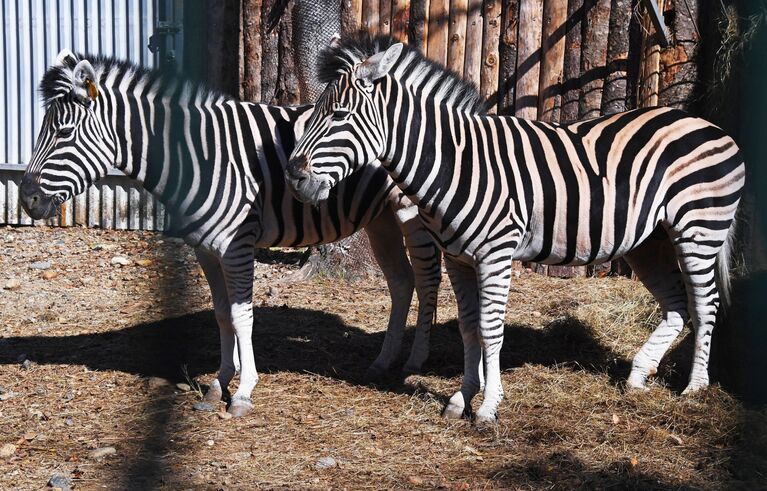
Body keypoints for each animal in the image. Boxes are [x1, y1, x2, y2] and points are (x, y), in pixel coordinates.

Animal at [19, 50, 444, 418]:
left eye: (64, 132)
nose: (26, 200)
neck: (197, 156)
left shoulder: (237, 245)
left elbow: (242, 315)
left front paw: (243, 391)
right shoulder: (206, 248)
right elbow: (222, 314)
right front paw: (218, 383)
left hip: (414, 213)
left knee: (427, 280)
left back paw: (416, 360)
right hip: (380, 218)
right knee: (401, 282)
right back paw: (383, 361)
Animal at [284, 34, 744, 424]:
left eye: (339, 116)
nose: (293, 177)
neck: (457, 163)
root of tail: (706, 124)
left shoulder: (495, 253)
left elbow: (491, 330)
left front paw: (488, 406)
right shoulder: (458, 258)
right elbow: (469, 326)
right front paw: (461, 398)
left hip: (698, 229)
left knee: (704, 306)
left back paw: (694, 388)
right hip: (649, 242)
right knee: (676, 306)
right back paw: (637, 376)